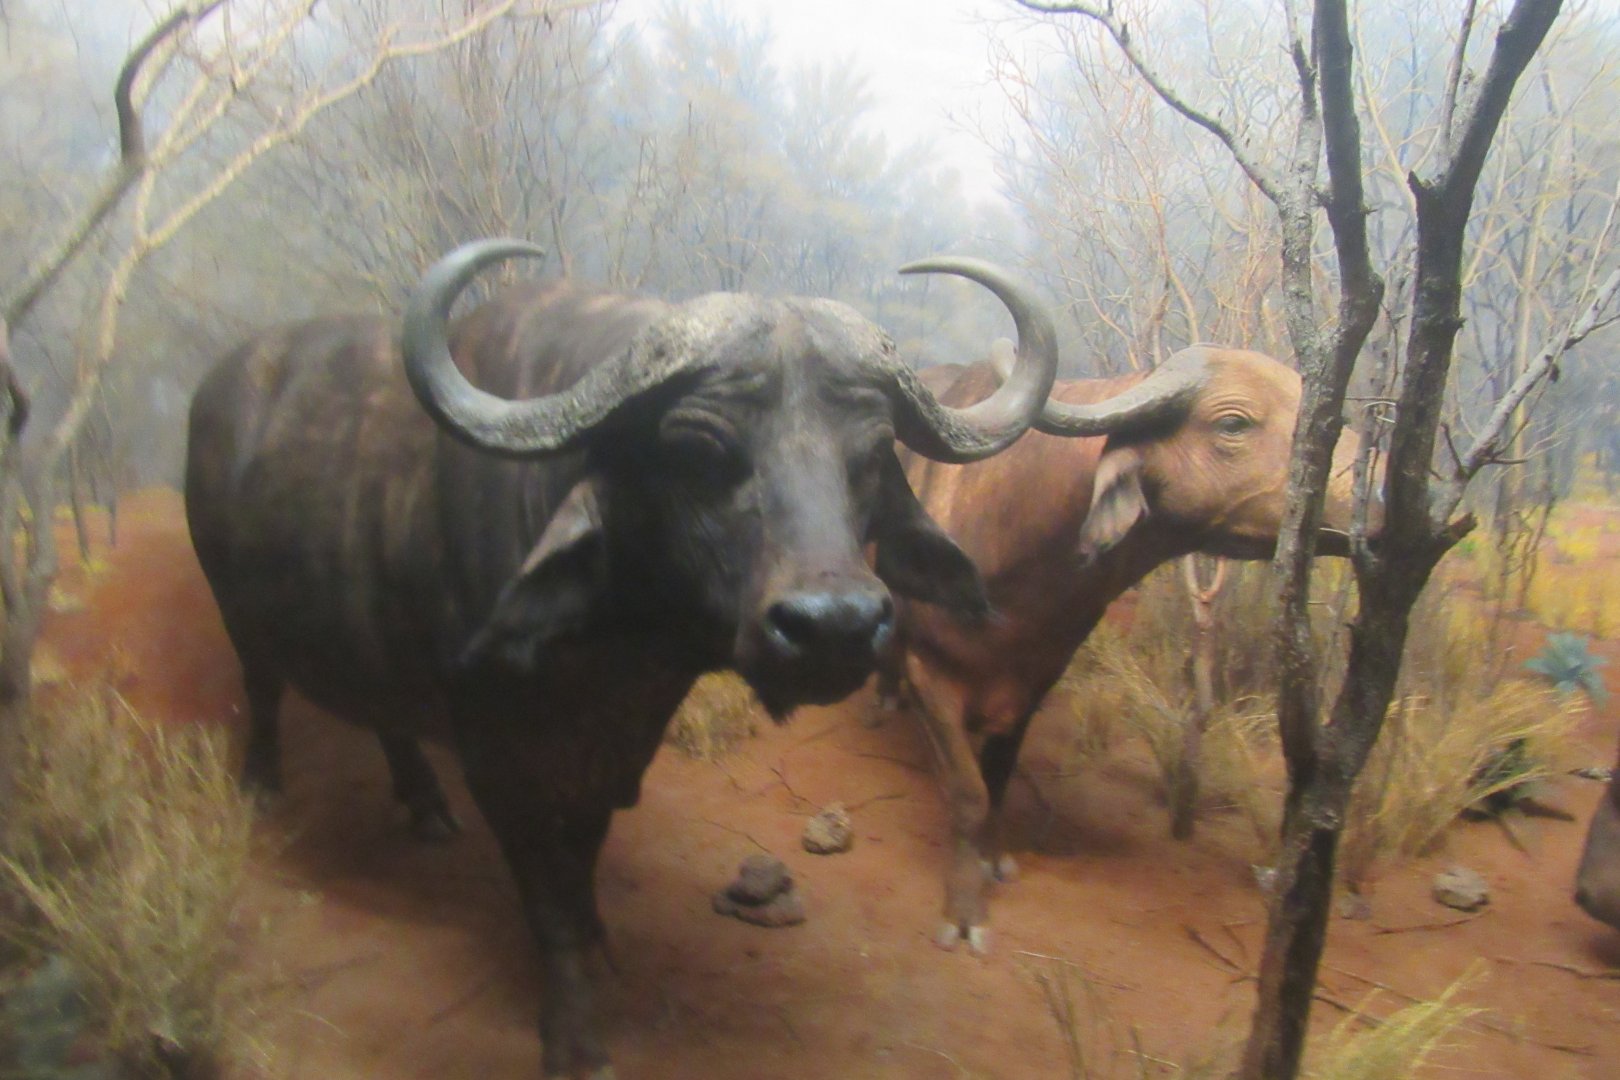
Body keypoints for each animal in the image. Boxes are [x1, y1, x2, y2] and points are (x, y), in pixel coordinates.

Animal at [185, 240, 1076, 1077]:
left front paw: (598, 936)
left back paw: (425, 805)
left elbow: (582, 858)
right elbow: (546, 891)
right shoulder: (497, 757)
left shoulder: (616, 749)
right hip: (233, 609)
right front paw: (574, 1035)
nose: (837, 627)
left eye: (870, 457)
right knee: (262, 688)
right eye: (699, 451)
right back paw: (263, 785)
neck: (615, 652)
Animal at [883, 342, 1364, 951]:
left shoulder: (1033, 682)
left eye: (1333, 418)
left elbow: (998, 778)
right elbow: (969, 795)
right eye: (1234, 423)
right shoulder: (930, 672)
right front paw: (964, 912)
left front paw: (994, 860)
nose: (1369, 492)